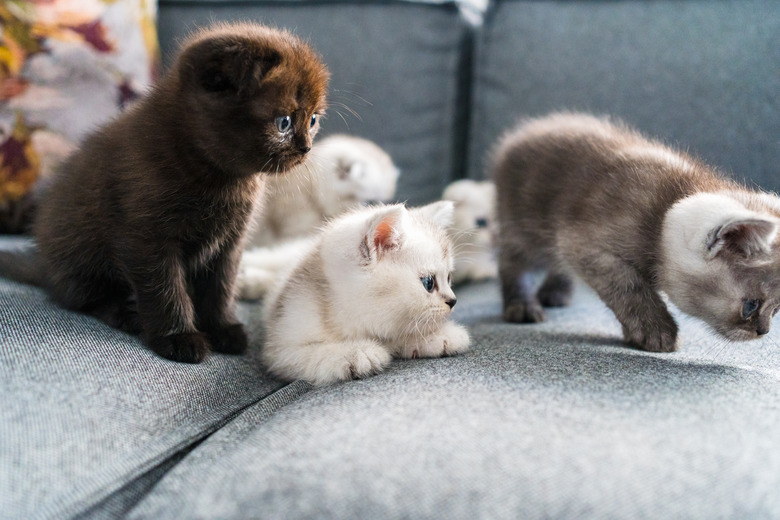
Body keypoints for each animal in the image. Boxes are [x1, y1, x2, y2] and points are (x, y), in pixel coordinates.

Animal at [26, 23, 326, 362]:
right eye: (283, 122)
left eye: (313, 120)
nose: (306, 148)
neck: (221, 179)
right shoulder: (146, 241)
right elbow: (165, 289)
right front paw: (179, 337)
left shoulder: (230, 244)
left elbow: (221, 288)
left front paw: (222, 329)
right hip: (78, 255)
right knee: (84, 297)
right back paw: (125, 313)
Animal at [262, 201, 470, 384]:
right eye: (429, 282)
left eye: (449, 278)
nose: (453, 300)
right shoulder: (281, 348)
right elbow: (313, 353)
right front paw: (357, 353)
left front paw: (438, 336)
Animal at [494, 111, 780, 352]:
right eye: (750, 305)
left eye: (777, 309)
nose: (763, 331)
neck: (663, 208)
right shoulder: (580, 242)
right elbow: (628, 286)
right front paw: (655, 330)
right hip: (521, 223)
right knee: (513, 262)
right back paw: (522, 305)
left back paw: (557, 291)